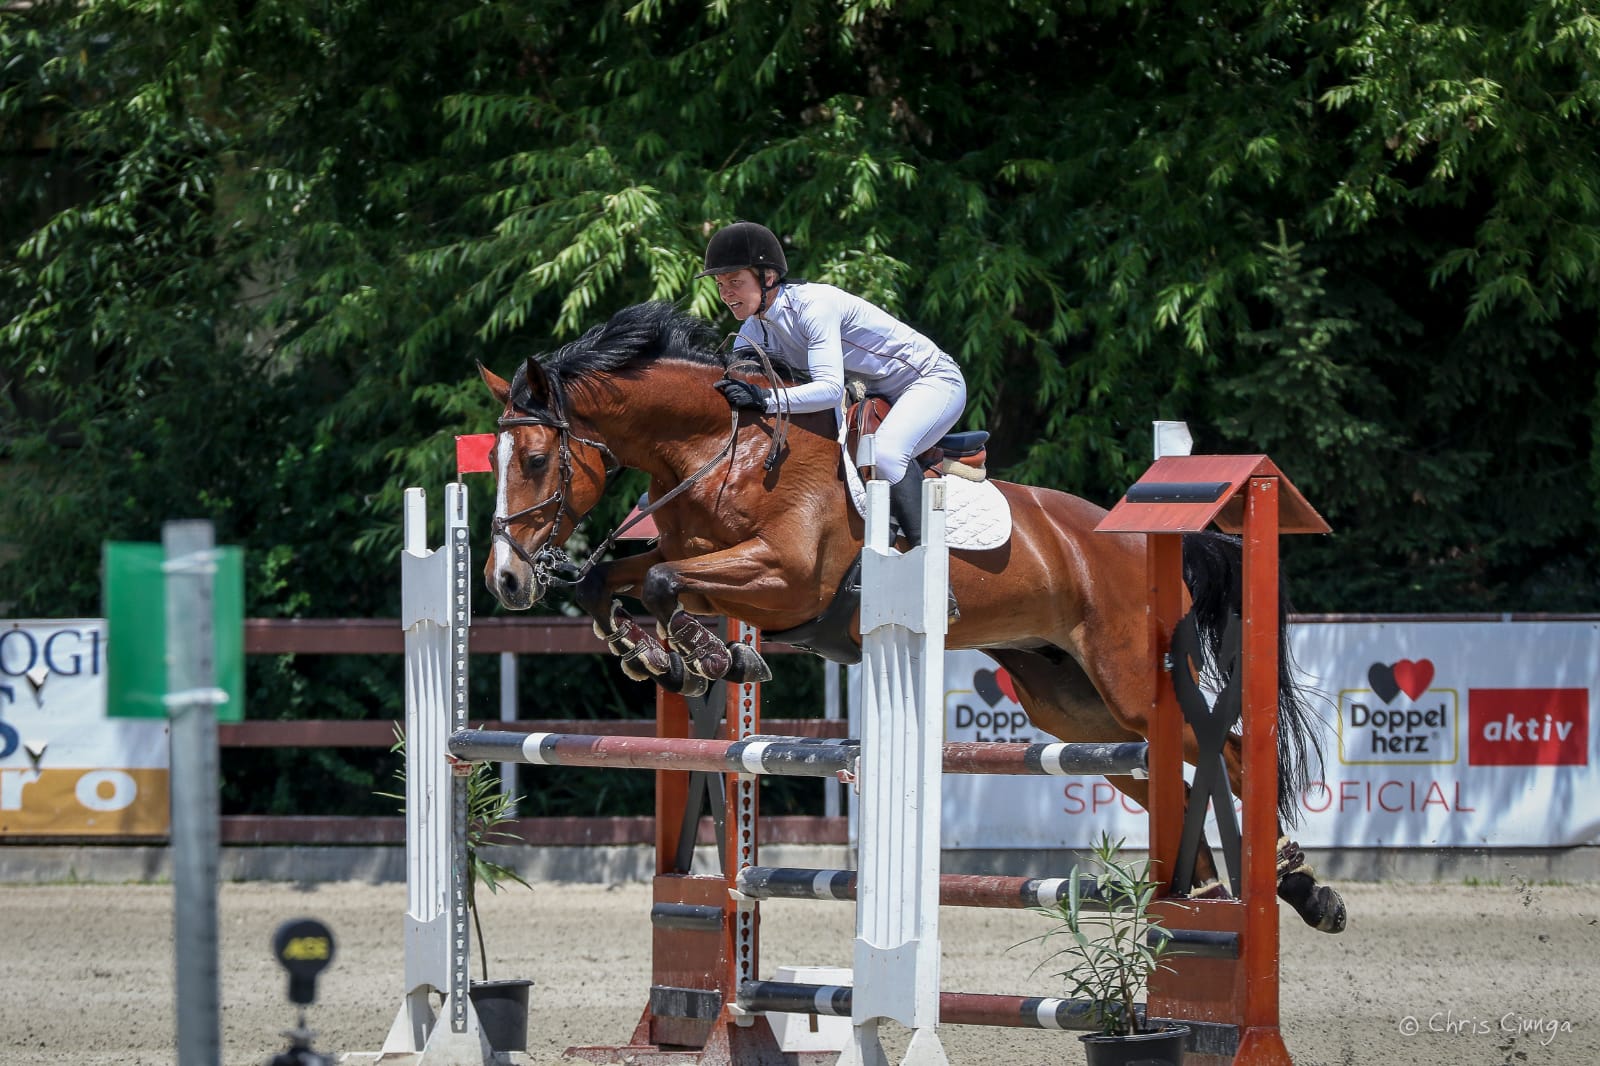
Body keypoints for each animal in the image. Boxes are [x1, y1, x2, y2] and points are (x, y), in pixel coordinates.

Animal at [480, 300, 1344, 928]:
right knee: (1150, 770)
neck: (718, 451)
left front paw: (711, 656)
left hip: (1132, 678)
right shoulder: (702, 558)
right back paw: (1222, 887)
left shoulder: (787, 581)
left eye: (535, 460)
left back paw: (1290, 878)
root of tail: (1135, 538)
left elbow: (661, 582)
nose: (506, 581)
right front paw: (661, 657)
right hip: (1072, 703)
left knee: (1228, 751)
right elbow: (617, 579)